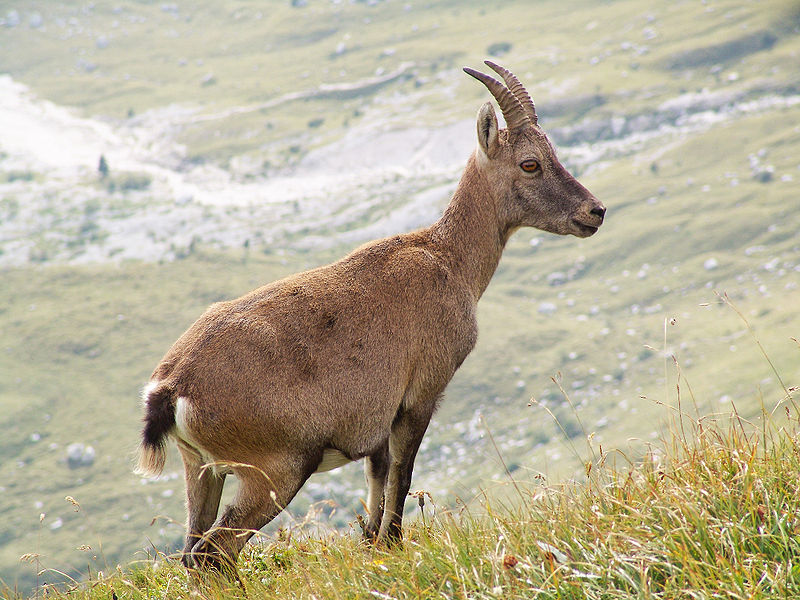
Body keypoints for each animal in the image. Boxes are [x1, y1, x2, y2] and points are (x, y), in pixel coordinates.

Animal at [134, 61, 608, 572]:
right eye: (530, 163)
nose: (595, 211)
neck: (448, 259)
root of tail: (171, 386)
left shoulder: (376, 423)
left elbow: (377, 485)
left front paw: (375, 545)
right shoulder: (420, 395)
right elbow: (402, 476)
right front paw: (395, 544)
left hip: (201, 469)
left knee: (192, 552)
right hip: (277, 469)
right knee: (214, 552)